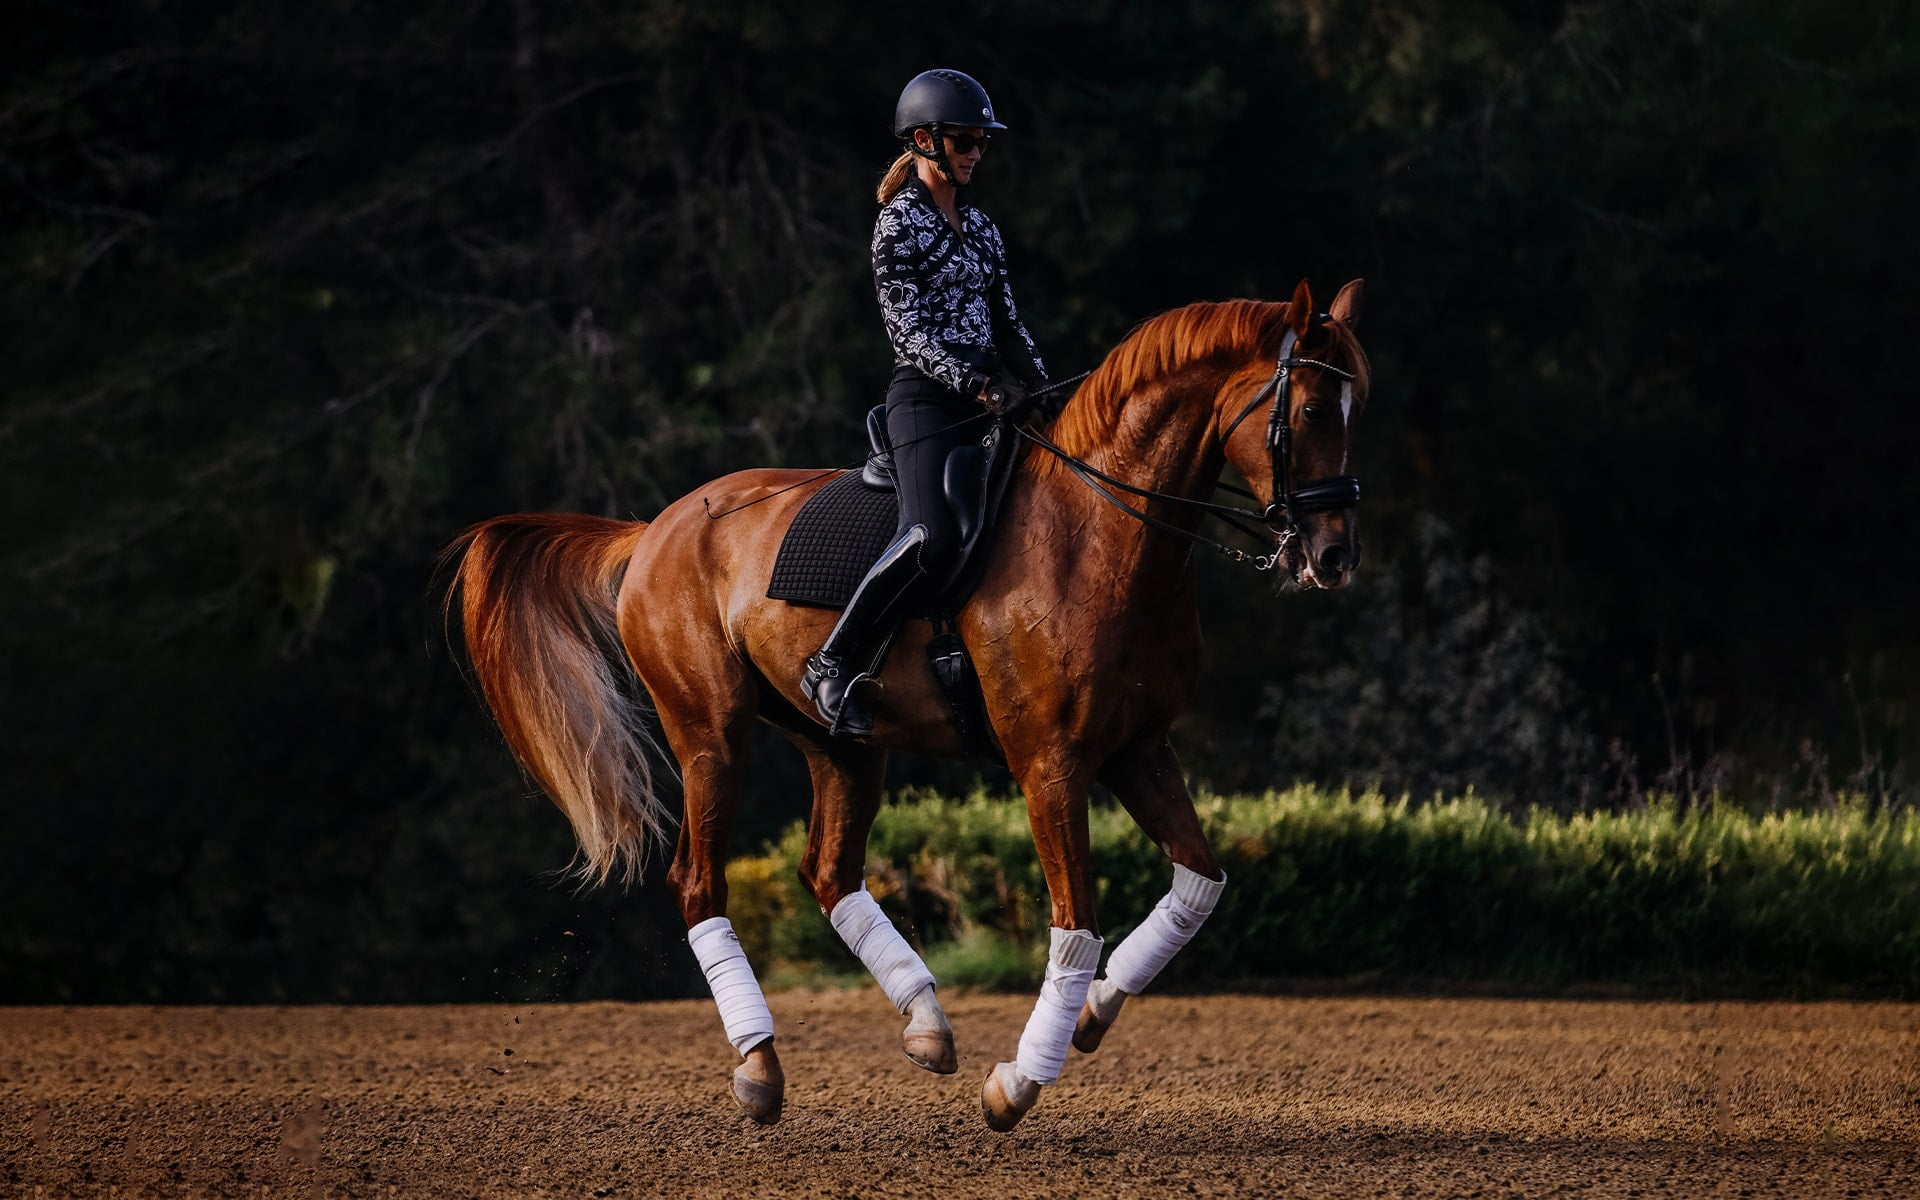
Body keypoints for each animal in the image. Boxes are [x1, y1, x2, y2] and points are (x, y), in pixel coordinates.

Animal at [444, 277, 1369, 1130]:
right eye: (1311, 409)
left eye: (1356, 408)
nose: (1333, 558)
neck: (1100, 534)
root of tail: (652, 531)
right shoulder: (1052, 766)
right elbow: (1076, 924)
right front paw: (1019, 1082)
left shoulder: (1139, 752)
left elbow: (1201, 886)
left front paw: (1097, 1013)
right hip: (710, 735)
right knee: (699, 883)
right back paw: (761, 1067)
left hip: (843, 745)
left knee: (829, 872)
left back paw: (925, 1022)